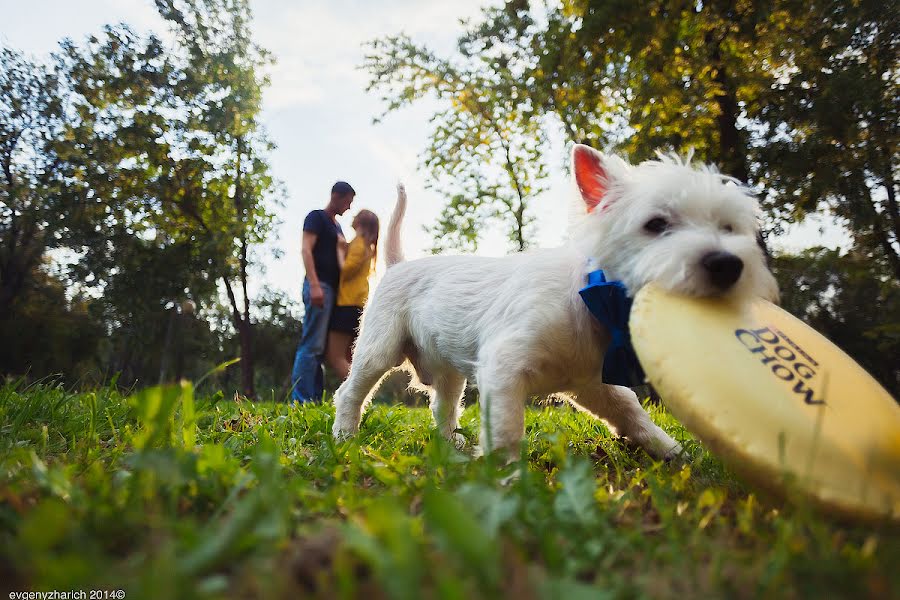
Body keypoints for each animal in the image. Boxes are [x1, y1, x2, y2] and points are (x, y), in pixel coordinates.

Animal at [334, 145, 776, 460]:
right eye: (656, 224)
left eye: (729, 227)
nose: (727, 265)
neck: (592, 303)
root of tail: (398, 264)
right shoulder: (504, 367)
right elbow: (507, 430)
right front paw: (506, 482)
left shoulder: (594, 385)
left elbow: (632, 411)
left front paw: (672, 451)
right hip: (379, 349)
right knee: (349, 392)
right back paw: (344, 437)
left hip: (448, 372)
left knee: (442, 410)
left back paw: (451, 447)